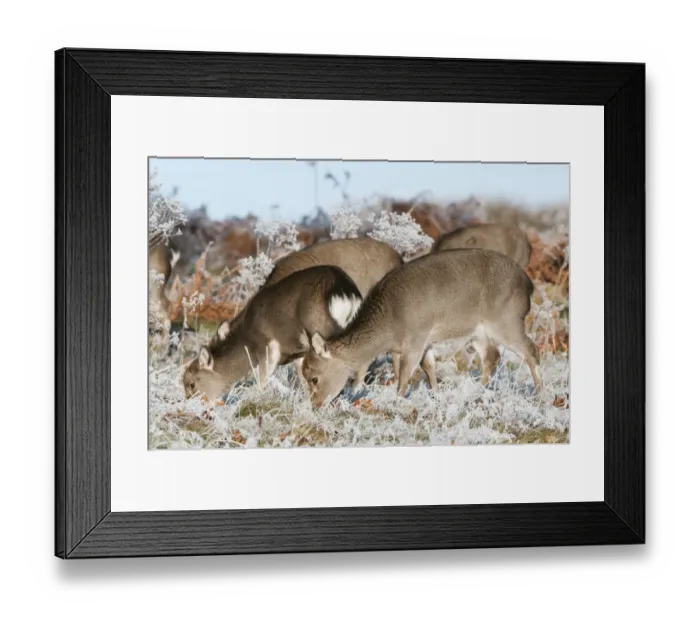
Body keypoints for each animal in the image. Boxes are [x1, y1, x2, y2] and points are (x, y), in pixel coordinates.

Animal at [182, 265, 365, 401]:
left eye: (191, 384)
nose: (190, 404)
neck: (247, 340)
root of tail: (344, 290)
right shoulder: (298, 352)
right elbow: (303, 377)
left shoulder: (267, 346)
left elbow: (262, 378)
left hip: (320, 327)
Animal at [301, 248, 543, 408]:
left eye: (314, 378)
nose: (315, 405)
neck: (389, 327)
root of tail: (528, 285)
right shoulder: (420, 343)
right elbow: (427, 368)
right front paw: (436, 396)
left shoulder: (417, 336)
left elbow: (404, 376)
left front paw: (396, 403)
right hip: (478, 331)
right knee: (492, 357)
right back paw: (476, 393)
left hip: (506, 319)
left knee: (531, 349)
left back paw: (540, 395)